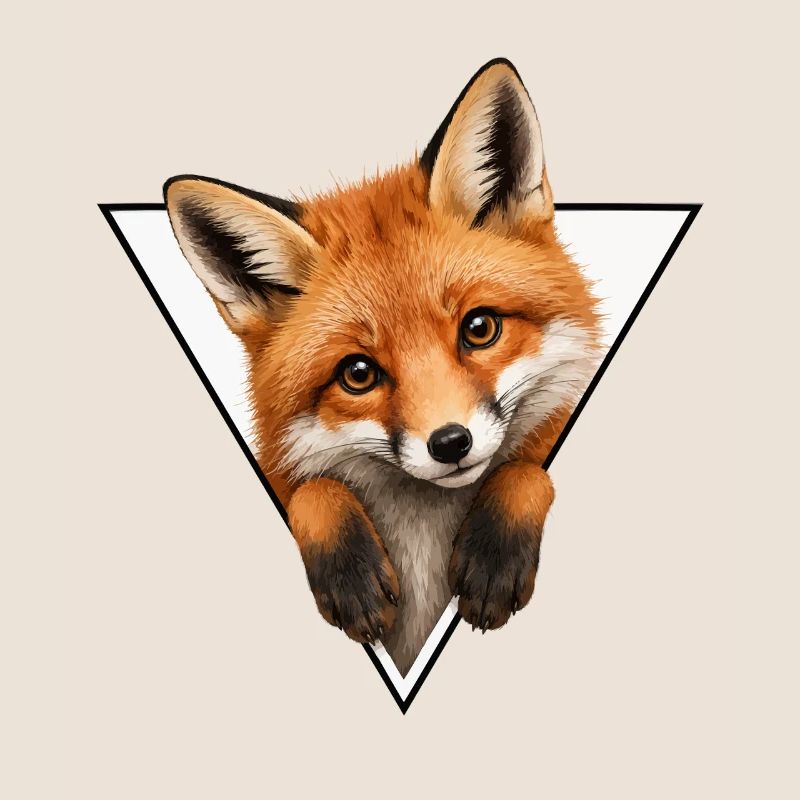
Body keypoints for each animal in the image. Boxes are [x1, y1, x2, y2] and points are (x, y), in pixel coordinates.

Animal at [164, 58, 602, 676]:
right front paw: (350, 572)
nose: (450, 443)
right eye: (358, 373)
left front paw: (494, 552)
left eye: (479, 328)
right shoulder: (283, 471)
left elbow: (527, 470)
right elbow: (311, 491)